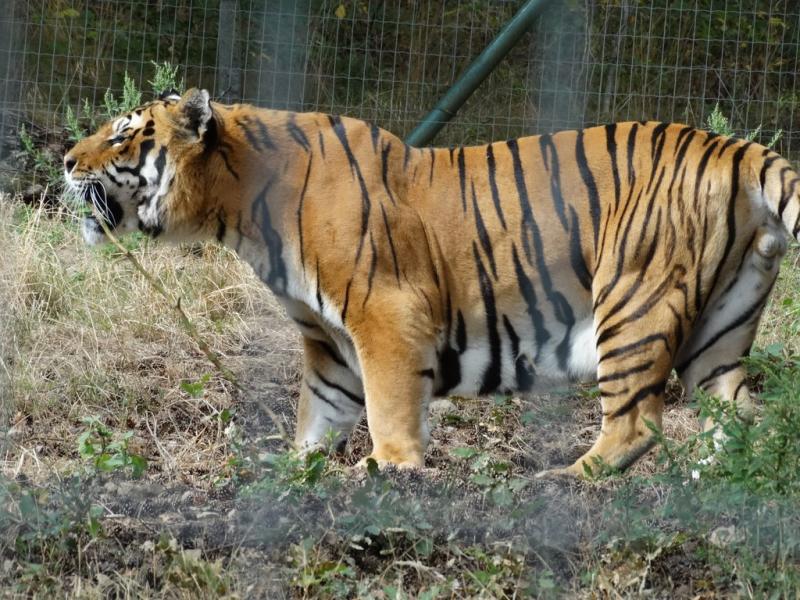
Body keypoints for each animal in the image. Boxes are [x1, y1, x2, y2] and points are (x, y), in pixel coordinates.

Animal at [63, 88, 800, 476]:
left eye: (124, 135)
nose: (66, 159)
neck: (240, 212)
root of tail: (735, 147)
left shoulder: (386, 313)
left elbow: (389, 405)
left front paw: (387, 468)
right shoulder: (329, 343)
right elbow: (320, 414)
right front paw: (295, 471)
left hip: (632, 300)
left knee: (638, 422)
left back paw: (569, 478)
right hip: (720, 330)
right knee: (739, 413)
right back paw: (721, 478)